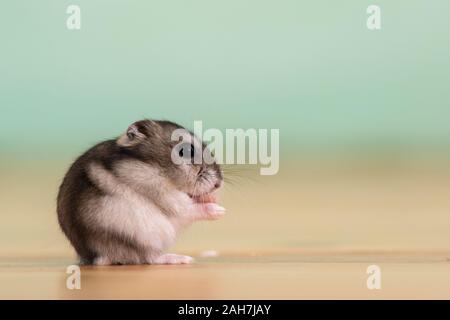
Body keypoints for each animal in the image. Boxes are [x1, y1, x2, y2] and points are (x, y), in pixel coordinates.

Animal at [56, 120, 225, 264]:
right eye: (187, 151)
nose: (219, 183)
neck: (158, 170)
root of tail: (96, 257)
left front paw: (213, 198)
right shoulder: (168, 198)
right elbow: (190, 209)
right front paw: (220, 211)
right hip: (141, 233)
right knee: (149, 258)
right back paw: (183, 259)